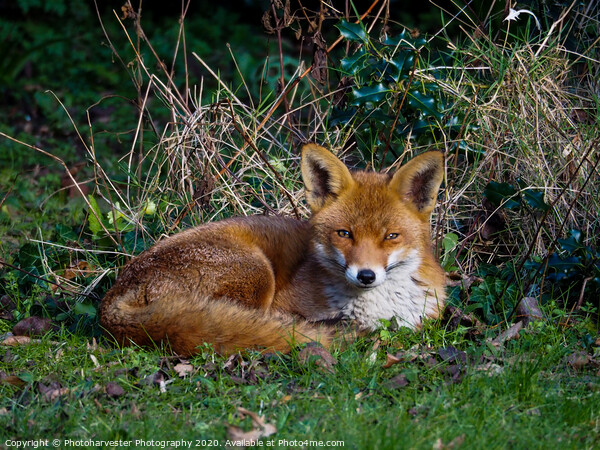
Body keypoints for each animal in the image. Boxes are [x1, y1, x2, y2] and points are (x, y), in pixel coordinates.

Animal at [98, 144, 446, 356]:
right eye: (345, 234)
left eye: (391, 236)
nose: (366, 276)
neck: (374, 309)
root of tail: (112, 298)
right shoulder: (285, 303)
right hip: (258, 273)